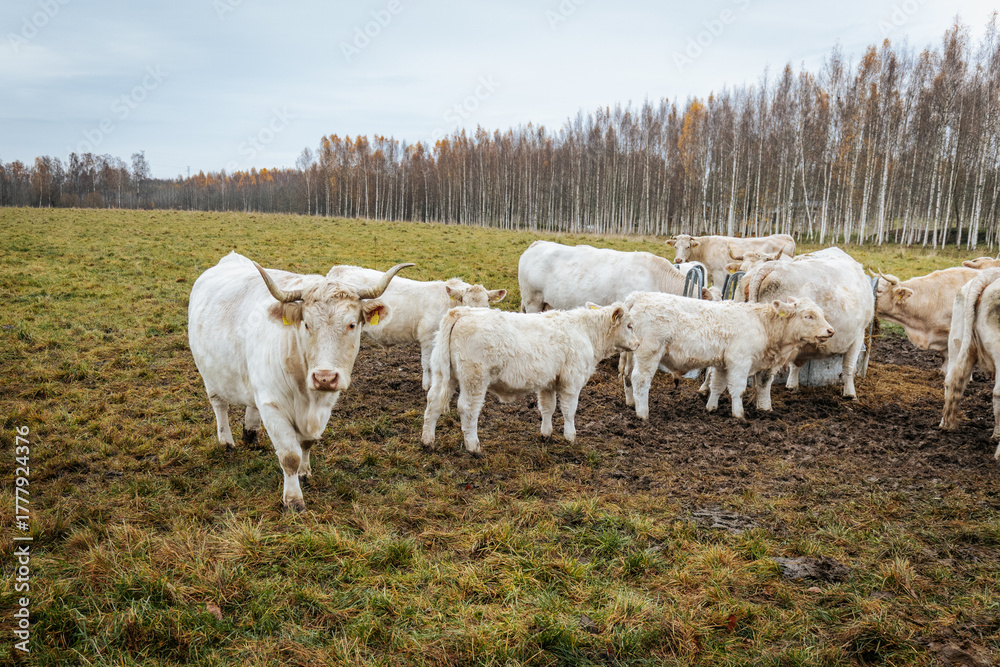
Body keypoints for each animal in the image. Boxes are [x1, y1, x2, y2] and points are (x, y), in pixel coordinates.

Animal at [188, 252, 412, 511]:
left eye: (351, 324)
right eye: (306, 324)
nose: (325, 377)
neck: (308, 395)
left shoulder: (324, 406)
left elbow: (306, 444)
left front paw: (305, 472)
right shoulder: (273, 406)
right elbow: (289, 456)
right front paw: (294, 500)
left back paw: (250, 435)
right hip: (209, 374)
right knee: (219, 406)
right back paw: (226, 443)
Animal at [326, 265, 507, 390]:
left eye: (486, 304)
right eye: (466, 303)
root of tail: (338, 269)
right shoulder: (427, 339)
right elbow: (427, 363)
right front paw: (427, 385)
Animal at [421, 304, 638, 456]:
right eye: (629, 326)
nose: (638, 343)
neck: (586, 332)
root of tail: (461, 311)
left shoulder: (549, 383)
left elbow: (548, 408)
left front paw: (546, 434)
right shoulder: (571, 381)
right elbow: (569, 410)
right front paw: (570, 437)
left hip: (443, 374)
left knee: (433, 403)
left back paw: (427, 441)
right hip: (474, 380)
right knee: (467, 410)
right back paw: (473, 447)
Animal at [620, 292, 834, 419]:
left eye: (822, 313)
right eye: (808, 316)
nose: (830, 330)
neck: (763, 325)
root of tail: (638, 295)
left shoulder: (723, 363)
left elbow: (719, 385)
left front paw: (711, 407)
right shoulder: (739, 361)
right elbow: (737, 389)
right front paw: (739, 414)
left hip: (632, 354)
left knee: (627, 377)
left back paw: (630, 403)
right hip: (648, 353)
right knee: (640, 380)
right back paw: (642, 413)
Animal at [743, 247, 874, 400]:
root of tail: (772, 265)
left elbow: (796, 364)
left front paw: (792, 385)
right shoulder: (858, 334)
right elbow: (849, 366)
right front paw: (850, 393)